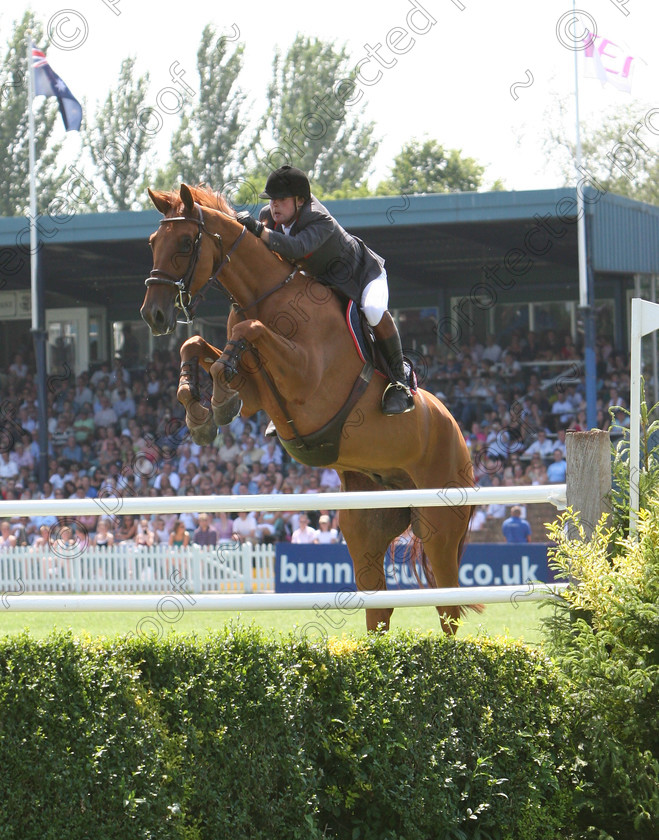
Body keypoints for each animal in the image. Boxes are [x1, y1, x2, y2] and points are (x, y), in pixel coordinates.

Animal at [142, 184, 476, 632]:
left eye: (182, 242)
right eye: (152, 242)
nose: (154, 315)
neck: (265, 297)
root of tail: (459, 436)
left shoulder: (307, 382)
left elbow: (248, 331)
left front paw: (214, 403)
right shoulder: (256, 393)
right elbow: (197, 348)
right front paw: (203, 414)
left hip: (438, 524)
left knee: (448, 605)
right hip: (367, 520)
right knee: (379, 605)